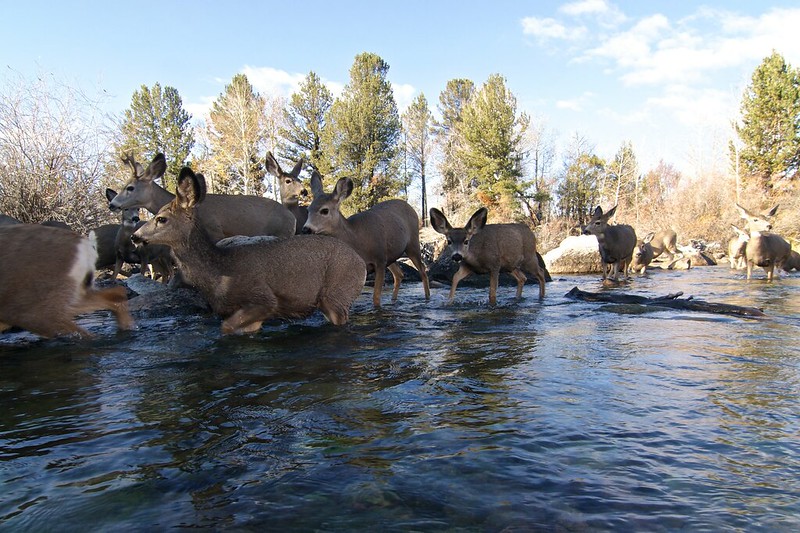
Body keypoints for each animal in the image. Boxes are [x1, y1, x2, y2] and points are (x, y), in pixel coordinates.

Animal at [133, 166, 368, 332]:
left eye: (161, 219)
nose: (135, 236)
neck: (218, 270)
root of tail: (361, 263)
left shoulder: (263, 298)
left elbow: (226, 327)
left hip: (337, 295)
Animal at [302, 172, 432, 306]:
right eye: (308, 210)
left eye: (324, 210)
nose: (306, 229)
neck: (357, 239)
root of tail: (410, 207)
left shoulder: (379, 260)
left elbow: (376, 298)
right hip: (391, 254)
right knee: (399, 274)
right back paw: (393, 300)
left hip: (412, 244)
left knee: (422, 271)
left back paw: (427, 298)